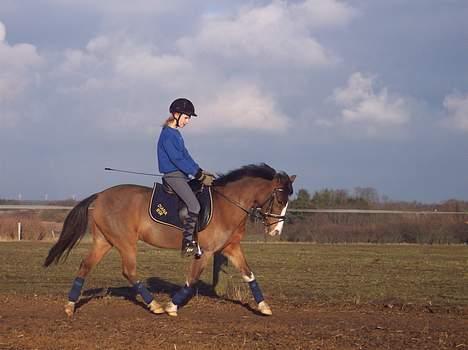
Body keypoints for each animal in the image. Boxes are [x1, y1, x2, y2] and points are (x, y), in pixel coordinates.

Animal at [45, 164, 296, 318]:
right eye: (279, 199)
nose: (276, 232)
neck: (229, 204)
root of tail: (100, 195)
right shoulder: (205, 251)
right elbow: (191, 280)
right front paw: (171, 306)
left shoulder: (231, 248)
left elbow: (249, 273)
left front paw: (264, 307)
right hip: (126, 242)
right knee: (129, 271)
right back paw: (154, 305)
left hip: (104, 241)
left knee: (85, 266)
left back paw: (70, 306)